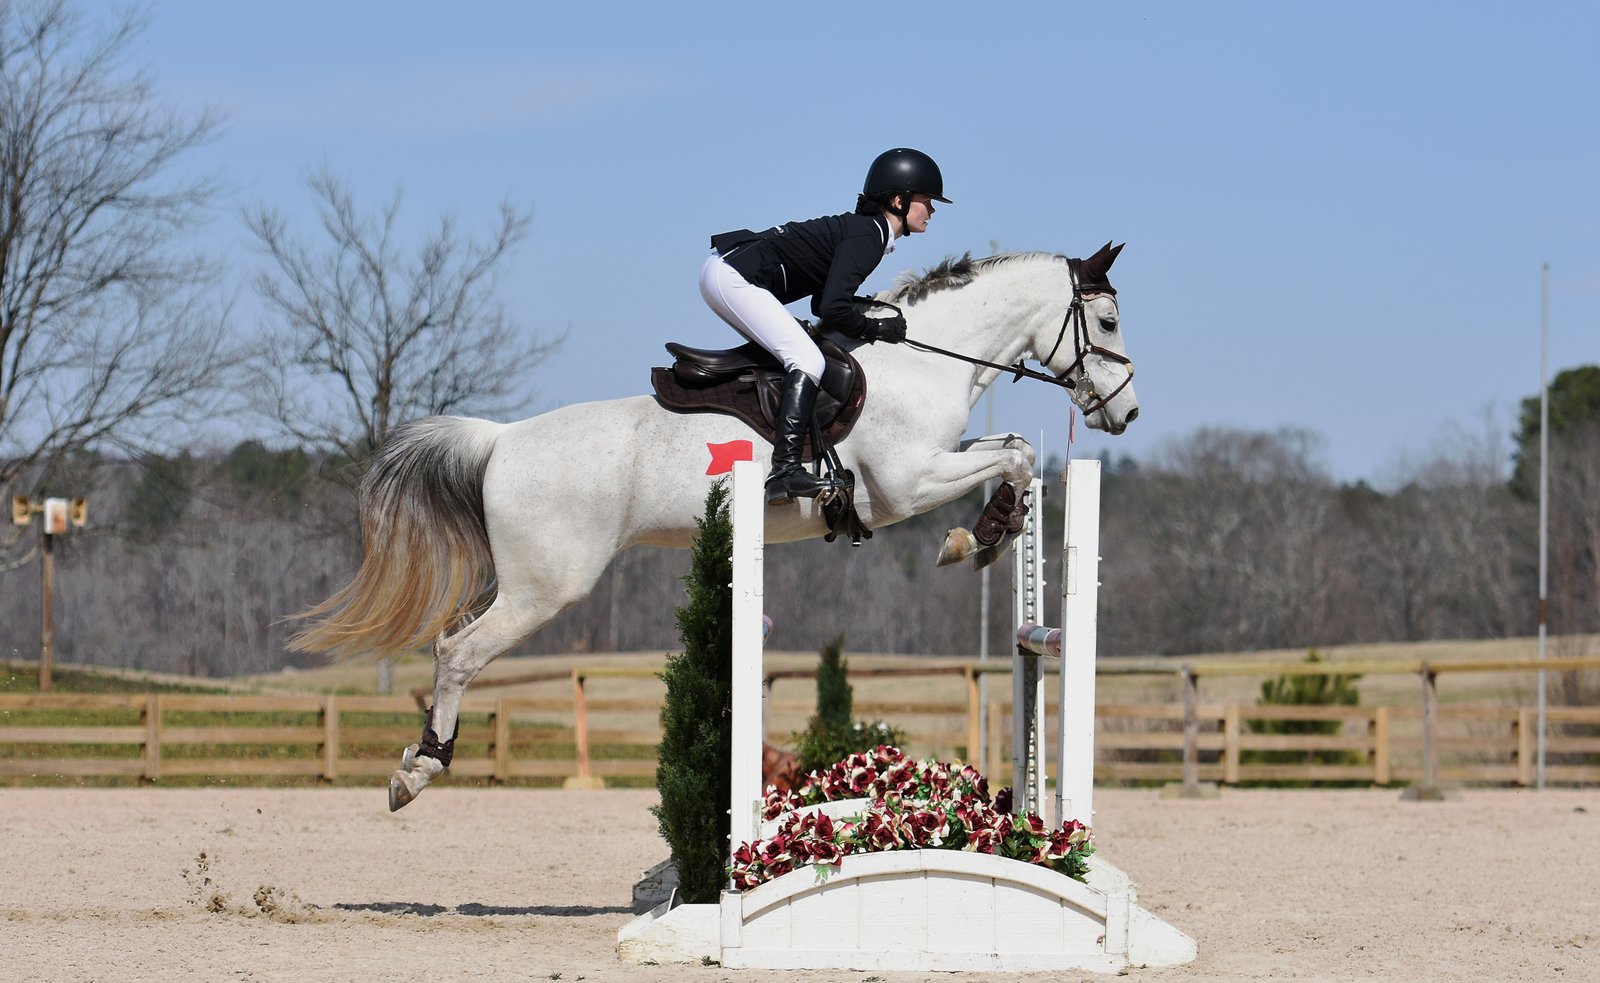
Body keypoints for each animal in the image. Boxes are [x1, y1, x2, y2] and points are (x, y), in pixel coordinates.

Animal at [289, 243, 1139, 811]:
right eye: (1105, 319)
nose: (1126, 413)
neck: (925, 361)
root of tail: (501, 440)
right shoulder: (906, 483)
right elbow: (1015, 456)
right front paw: (974, 539)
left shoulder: (932, 466)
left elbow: (1016, 450)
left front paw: (990, 532)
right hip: (546, 586)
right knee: (457, 652)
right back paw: (417, 770)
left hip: (526, 580)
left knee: (450, 644)